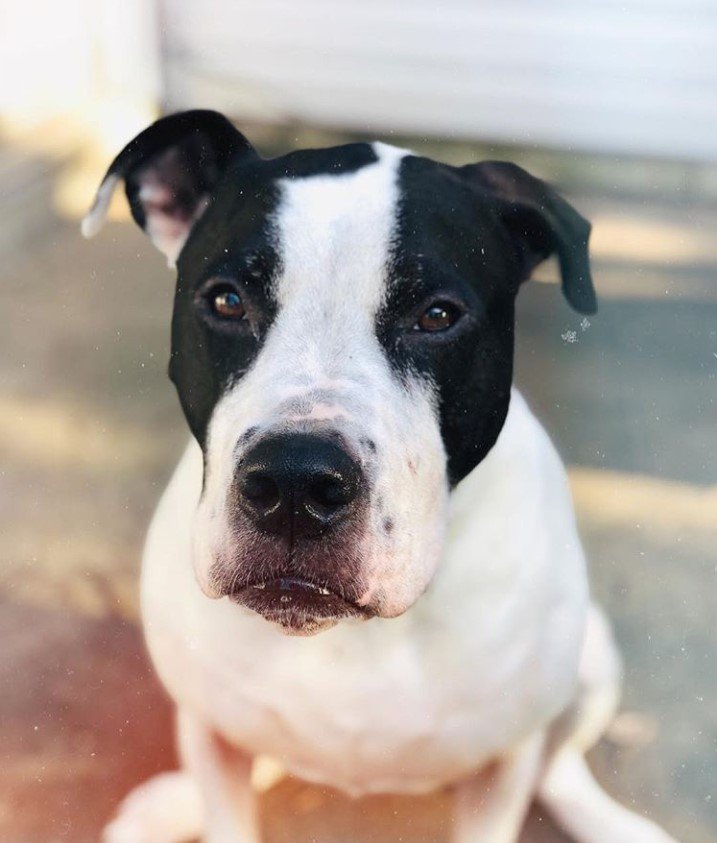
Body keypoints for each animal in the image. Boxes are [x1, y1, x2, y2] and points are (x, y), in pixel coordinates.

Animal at [84, 112, 676, 843]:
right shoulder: (210, 729)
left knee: (559, 763)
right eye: (224, 301)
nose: (293, 486)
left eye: (438, 315)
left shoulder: (501, 764)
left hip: (592, 660)